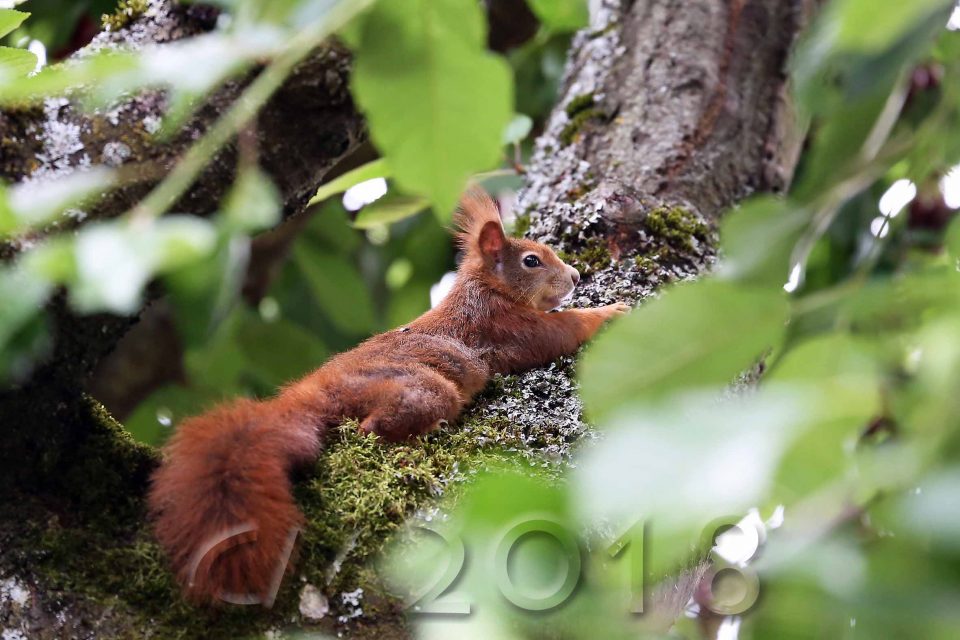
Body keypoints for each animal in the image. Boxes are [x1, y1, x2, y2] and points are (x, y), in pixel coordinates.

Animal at [147, 187, 629, 604]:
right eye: (531, 260)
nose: (576, 275)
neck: (484, 288)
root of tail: (311, 390)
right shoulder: (505, 326)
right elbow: (560, 332)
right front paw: (609, 313)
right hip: (418, 387)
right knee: (373, 427)